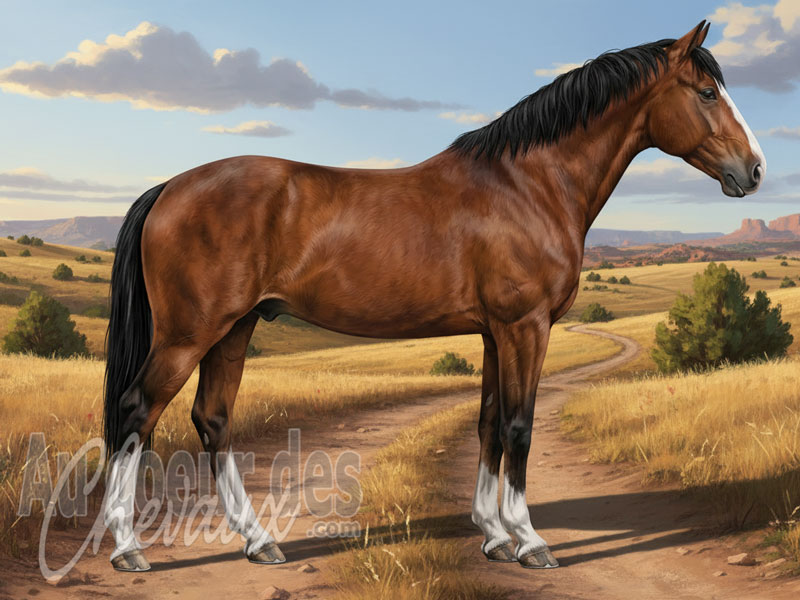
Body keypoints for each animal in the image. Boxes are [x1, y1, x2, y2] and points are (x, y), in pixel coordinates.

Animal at [101, 21, 764, 572]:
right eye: (706, 92)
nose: (754, 170)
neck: (529, 183)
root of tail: (169, 188)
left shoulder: (496, 332)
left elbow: (489, 422)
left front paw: (493, 535)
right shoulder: (526, 326)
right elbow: (520, 426)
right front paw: (530, 541)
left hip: (234, 329)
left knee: (213, 420)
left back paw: (260, 542)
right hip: (190, 334)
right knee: (137, 411)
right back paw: (129, 549)